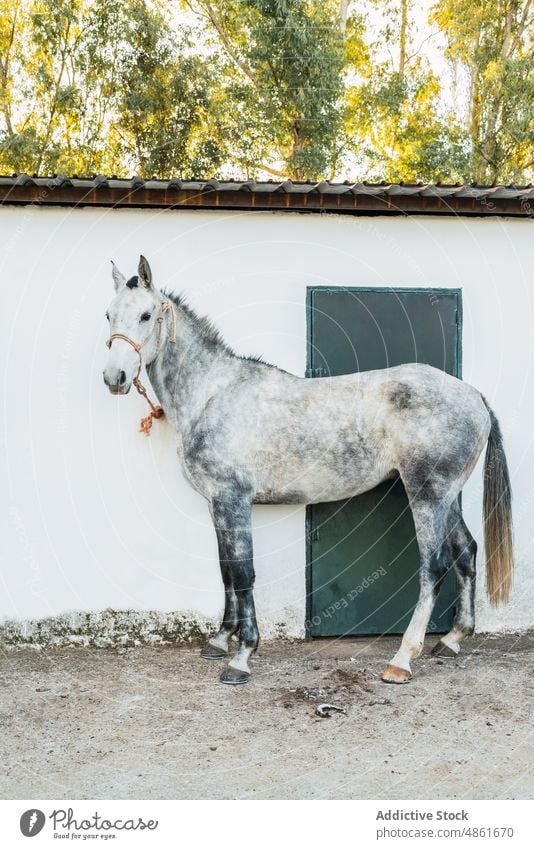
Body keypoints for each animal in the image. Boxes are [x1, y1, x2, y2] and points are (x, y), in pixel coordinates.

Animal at [103, 255, 516, 684]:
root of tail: (472, 395)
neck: (213, 395)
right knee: (465, 551)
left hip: (427, 495)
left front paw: (242, 656)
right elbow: (227, 570)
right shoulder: (217, 504)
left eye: (146, 314)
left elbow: (244, 574)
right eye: (109, 314)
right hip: (446, 496)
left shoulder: (234, 500)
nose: (114, 378)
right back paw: (450, 640)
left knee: (433, 566)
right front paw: (219, 642)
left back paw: (402, 659)